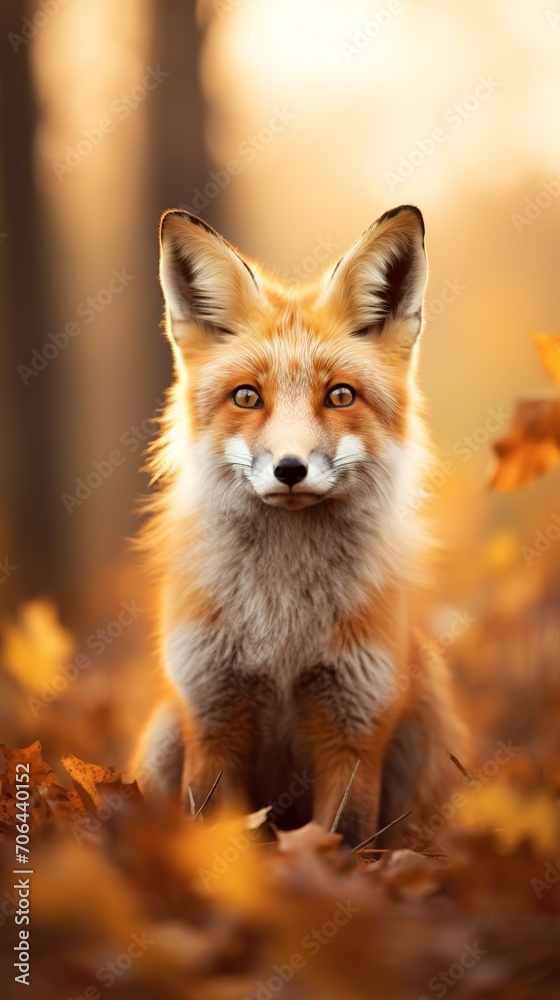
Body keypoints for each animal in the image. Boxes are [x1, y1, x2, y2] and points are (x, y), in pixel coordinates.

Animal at [133, 203, 466, 847]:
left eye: (339, 396)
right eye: (246, 397)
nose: (290, 469)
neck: (281, 630)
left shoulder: (354, 726)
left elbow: (343, 841)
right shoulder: (211, 715)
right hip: (162, 734)